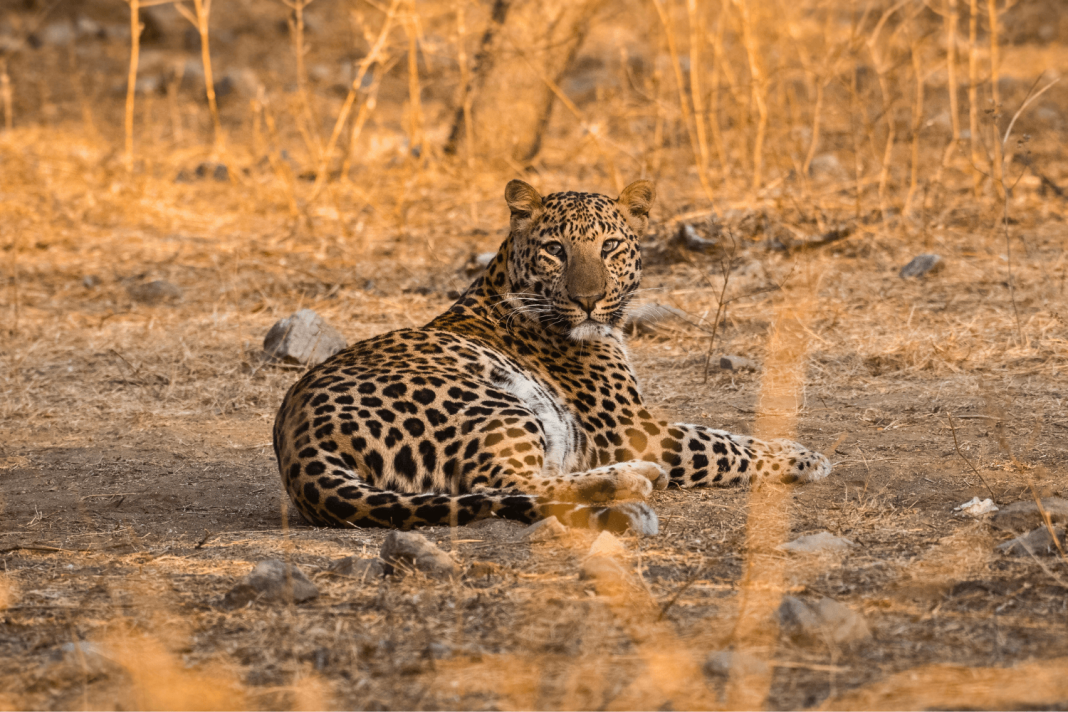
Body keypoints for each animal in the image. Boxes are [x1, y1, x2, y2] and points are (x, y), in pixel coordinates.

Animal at [272, 179, 832, 536]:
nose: (588, 300)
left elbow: (725, 432)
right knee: (513, 482)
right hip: (492, 404)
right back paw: (629, 481)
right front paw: (805, 459)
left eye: (610, 247)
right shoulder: (635, 427)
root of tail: (297, 447)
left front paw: (797, 449)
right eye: (555, 250)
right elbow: (722, 444)